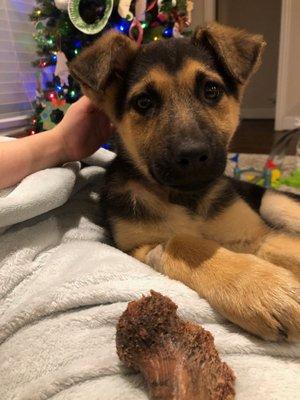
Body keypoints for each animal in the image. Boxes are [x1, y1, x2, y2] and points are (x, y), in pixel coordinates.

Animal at [69, 23, 298, 340]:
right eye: (144, 102)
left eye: (211, 91)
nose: (192, 155)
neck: (186, 198)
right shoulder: (140, 248)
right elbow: (184, 241)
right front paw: (261, 286)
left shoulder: (257, 235)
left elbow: (289, 248)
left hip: (275, 204)